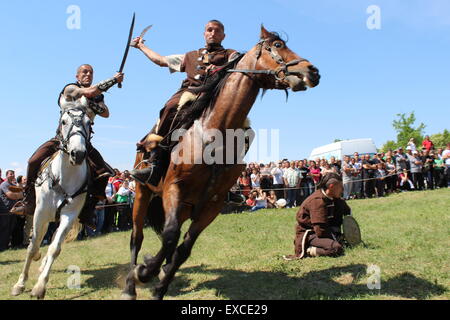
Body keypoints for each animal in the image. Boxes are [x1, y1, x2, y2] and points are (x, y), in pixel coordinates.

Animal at [121, 25, 322, 300]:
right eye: (278, 45)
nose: (312, 71)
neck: (214, 132)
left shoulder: (212, 205)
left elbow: (182, 249)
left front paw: (160, 284)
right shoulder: (174, 189)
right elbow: (170, 236)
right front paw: (145, 271)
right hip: (143, 193)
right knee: (136, 237)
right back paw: (130, 286)